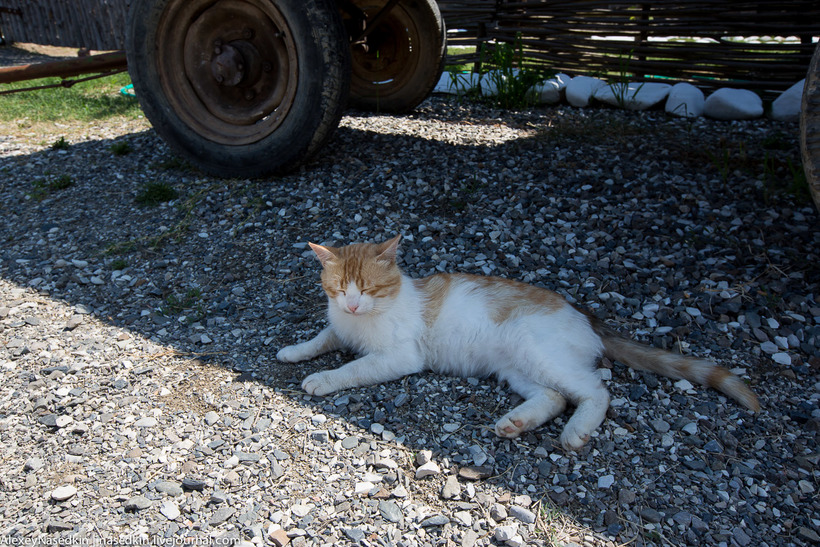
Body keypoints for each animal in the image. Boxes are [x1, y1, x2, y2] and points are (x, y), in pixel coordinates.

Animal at [278, 234, 760, 450]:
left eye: (369, 290)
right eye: (338, 289)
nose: (352, 305)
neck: (361, 324)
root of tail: (586, 315)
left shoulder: (398, 356)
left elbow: (354, 366)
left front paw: (322, 378)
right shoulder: (338, 326)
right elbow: (321, 337)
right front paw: (294, 352)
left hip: (536, 350)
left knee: (595, 391)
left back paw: (576, 432)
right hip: (516, 370)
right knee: (554, 397)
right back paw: (516, 422)